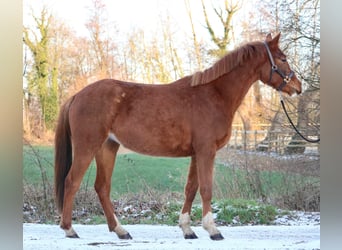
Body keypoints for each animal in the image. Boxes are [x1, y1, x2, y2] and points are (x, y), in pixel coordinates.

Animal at [54, 32, 302, 240]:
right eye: (282, 58)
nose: (298, 86)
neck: (214, 95)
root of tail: (77, 95)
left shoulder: (197, 153)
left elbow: (191, 189)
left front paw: (187, 229)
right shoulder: (206, 151)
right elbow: (206, 188)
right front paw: (212, 229)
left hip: (107, 147)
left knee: (102, 187)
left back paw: (120, 230)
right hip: (88, 147)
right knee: (72, 182)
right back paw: (69, 229)